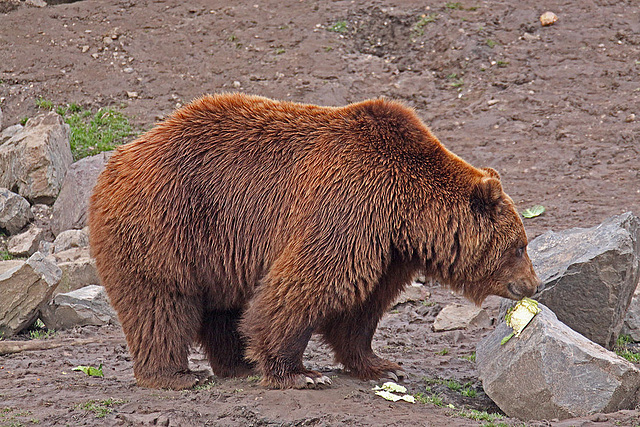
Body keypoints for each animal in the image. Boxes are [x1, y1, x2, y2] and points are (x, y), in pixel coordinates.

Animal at [89, 93, 540, 392]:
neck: (407, 212)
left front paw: (383, 365)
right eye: (520, 245)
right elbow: (308, 284)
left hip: (218, 248)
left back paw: (237, 364)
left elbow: (361, 308)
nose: (532, 285)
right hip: (167, 222)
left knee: (221, 308)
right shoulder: (349, 206)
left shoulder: (388, 249)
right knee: (160, 302)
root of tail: (116, 159)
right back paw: (173, 375)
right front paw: (300, 372)